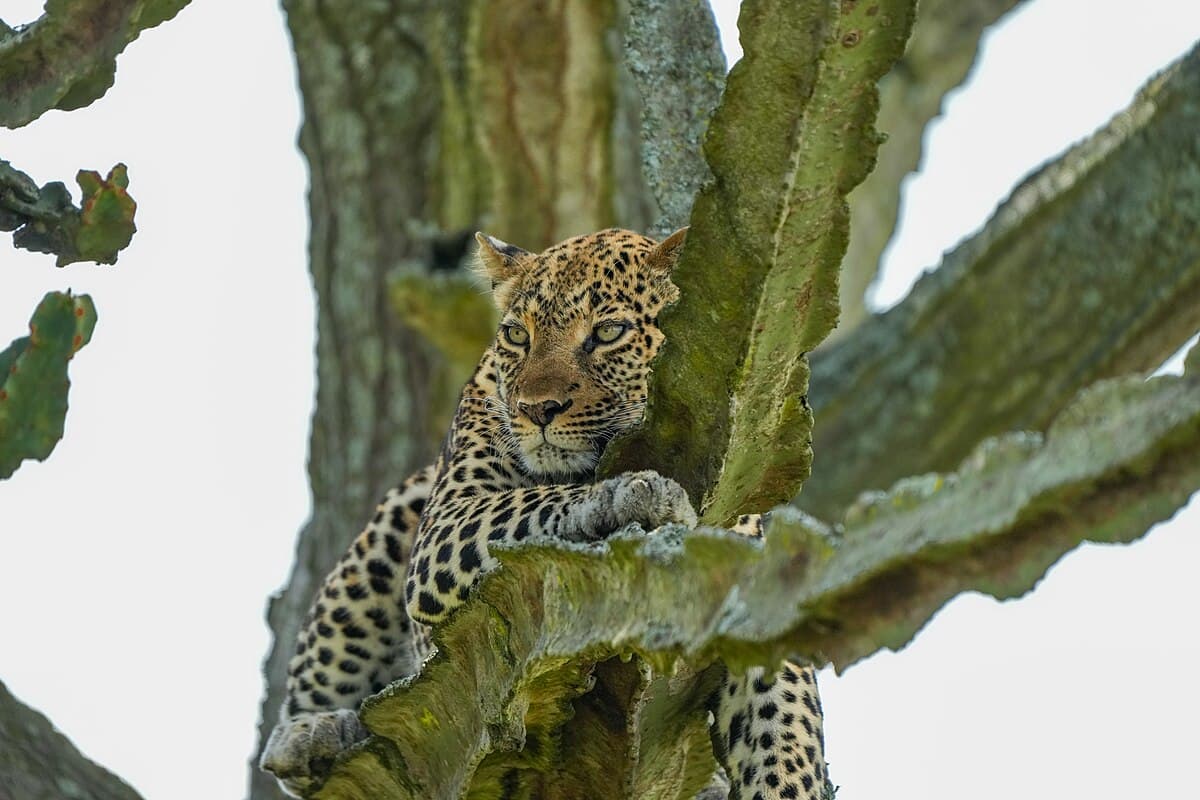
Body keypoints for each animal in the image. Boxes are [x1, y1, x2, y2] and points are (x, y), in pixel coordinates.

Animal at [260, 228, 830, 800]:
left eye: (608, 332)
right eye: (517, 335)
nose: (537, 409)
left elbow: (786, 732)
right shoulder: (447, 520)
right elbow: (533, 504)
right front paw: (630, 495)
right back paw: (314, 731)